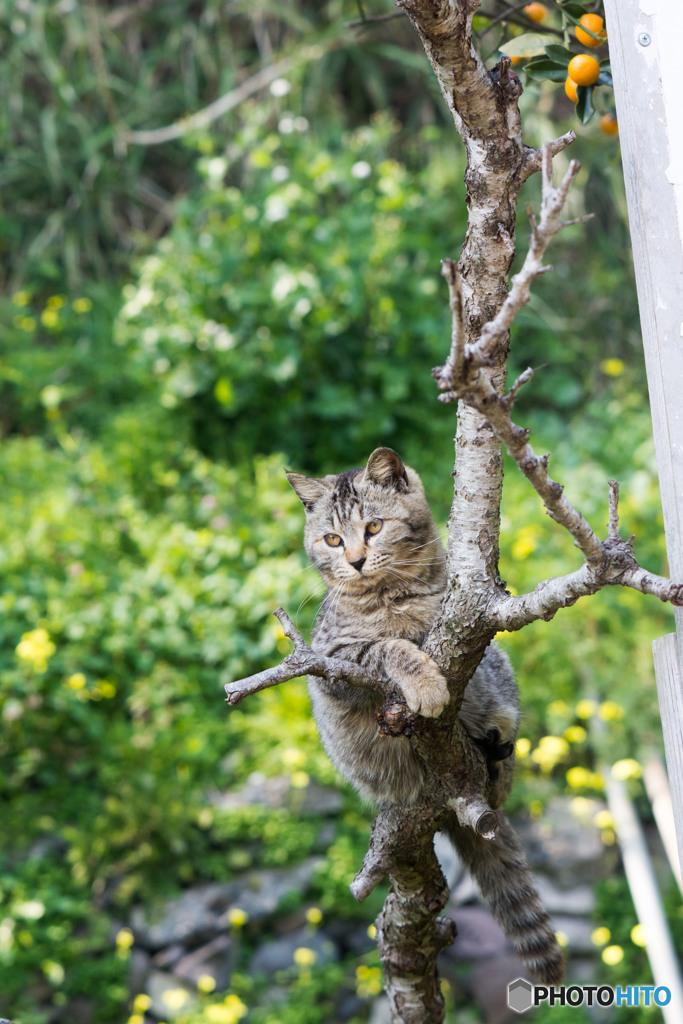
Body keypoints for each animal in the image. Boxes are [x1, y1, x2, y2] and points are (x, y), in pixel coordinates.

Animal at [286, 450, 565, 983]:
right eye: (332, 539)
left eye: (374, 527)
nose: (355, 560)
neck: (393, 595)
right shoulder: (335, 661)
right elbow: (390, 647)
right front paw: (426, 682)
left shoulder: (472, 644)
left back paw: (493, 752)